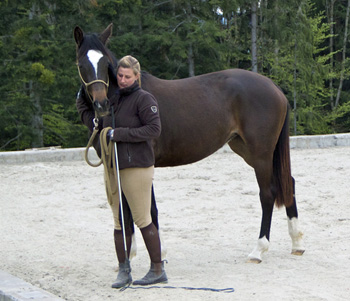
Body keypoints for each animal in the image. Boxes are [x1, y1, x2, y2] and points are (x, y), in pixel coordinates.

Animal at [73, 24, 304, 262]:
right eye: (81, 64)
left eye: (105, 63)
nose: (101, 103)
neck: (125, 98)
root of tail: (274, 87)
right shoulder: (119, 165)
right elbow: (126, 206)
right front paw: (130, 253)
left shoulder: (143, 163)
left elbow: (148, 208)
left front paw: (159, 253)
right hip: (249, 151)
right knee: (289, 183)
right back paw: (296, 242)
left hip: (260, 155)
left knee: (268, 193)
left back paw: (259, 249)